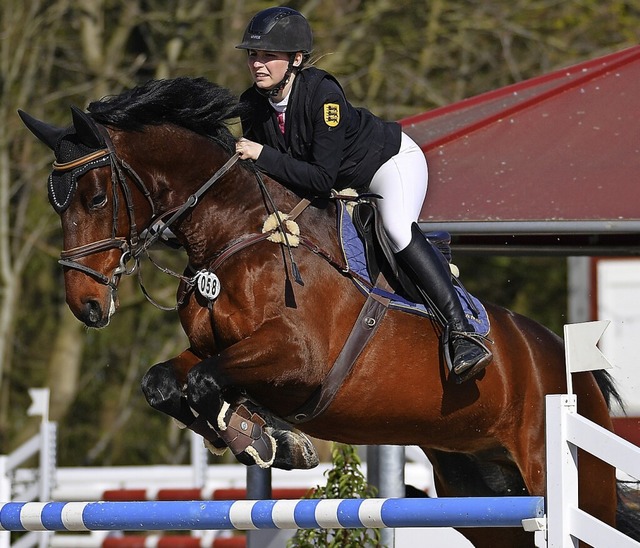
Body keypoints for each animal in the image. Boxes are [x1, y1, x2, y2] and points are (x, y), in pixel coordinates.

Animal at [20, 78, 640, 548]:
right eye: (56, 203)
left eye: (97, 198)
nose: (86, 305)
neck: (236, 234)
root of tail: (573, 369)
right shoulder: (213, 349)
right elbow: (166, 383)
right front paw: (265, 435)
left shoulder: (299, 359)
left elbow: (203, 382)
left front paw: (260, 436)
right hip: (482, 490)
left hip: (570, 483)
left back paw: (468, 347)